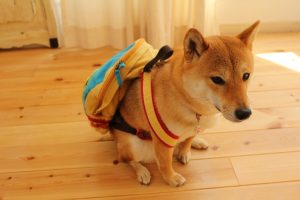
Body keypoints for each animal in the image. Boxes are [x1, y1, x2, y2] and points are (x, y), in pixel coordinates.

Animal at [110, 20, 260, 186]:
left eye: (246, 76)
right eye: (217, 79)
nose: (245, 113)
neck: (190, 105)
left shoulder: (193, 128)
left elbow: (188, 140)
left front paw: (184, 151)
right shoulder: (163, 140)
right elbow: (165, 163)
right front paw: (171, 178)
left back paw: (197, 142)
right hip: (133, 145)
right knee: (127, 159)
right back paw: (142, 171)